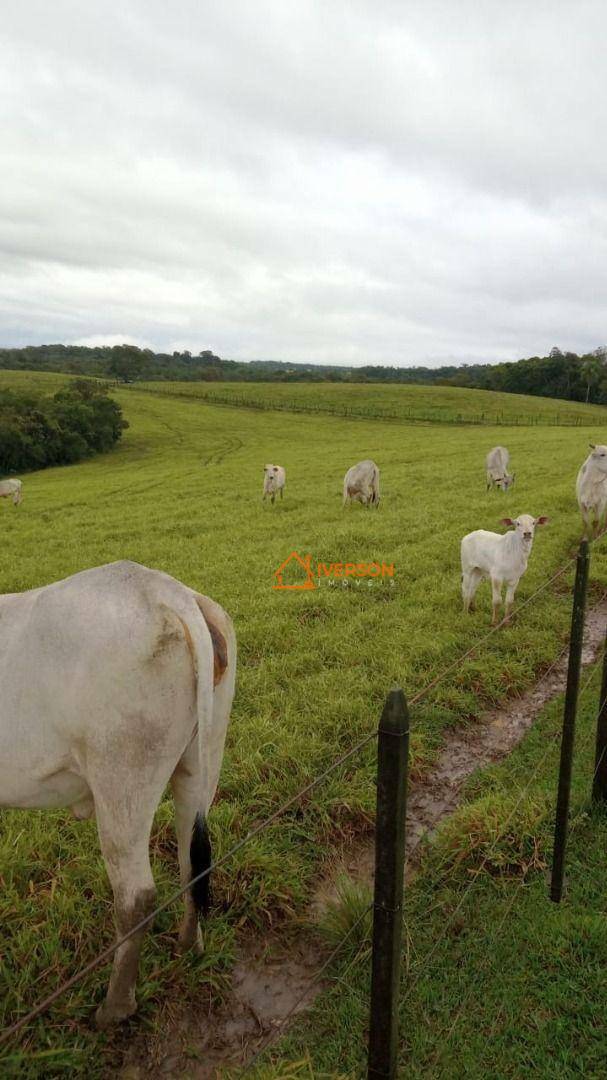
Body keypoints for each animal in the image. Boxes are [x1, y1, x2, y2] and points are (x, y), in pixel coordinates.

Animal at [0, 561, 235, 1023]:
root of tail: (168, 592)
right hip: (201, 762)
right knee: (191, 862)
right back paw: (188, 945)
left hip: (122, 783)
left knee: (135, 896)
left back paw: (115, 1007)